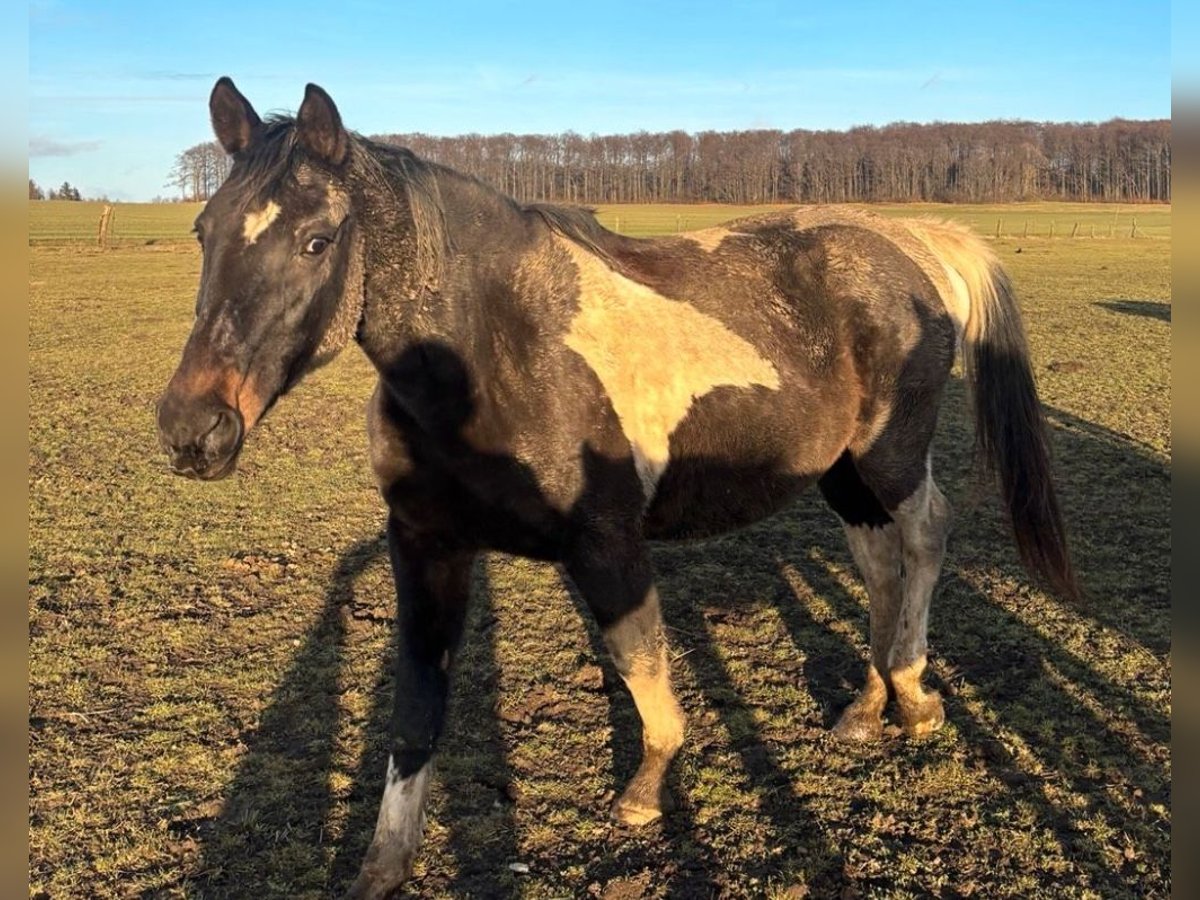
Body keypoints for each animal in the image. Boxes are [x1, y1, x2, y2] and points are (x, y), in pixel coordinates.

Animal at [156, 78, 1077, 898]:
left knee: (925, 536)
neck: (495, 352)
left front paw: (642, 794)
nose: (192, 430)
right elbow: (416, 713)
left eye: (317, 240)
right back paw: (866, 705)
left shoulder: (607, 544)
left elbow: (646, 678)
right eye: (203, 231)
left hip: (888, 456)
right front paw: (380, 871)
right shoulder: (425, 548)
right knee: (881, 562)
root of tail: (910, 242)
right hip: (841, 471)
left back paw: (914, 696)